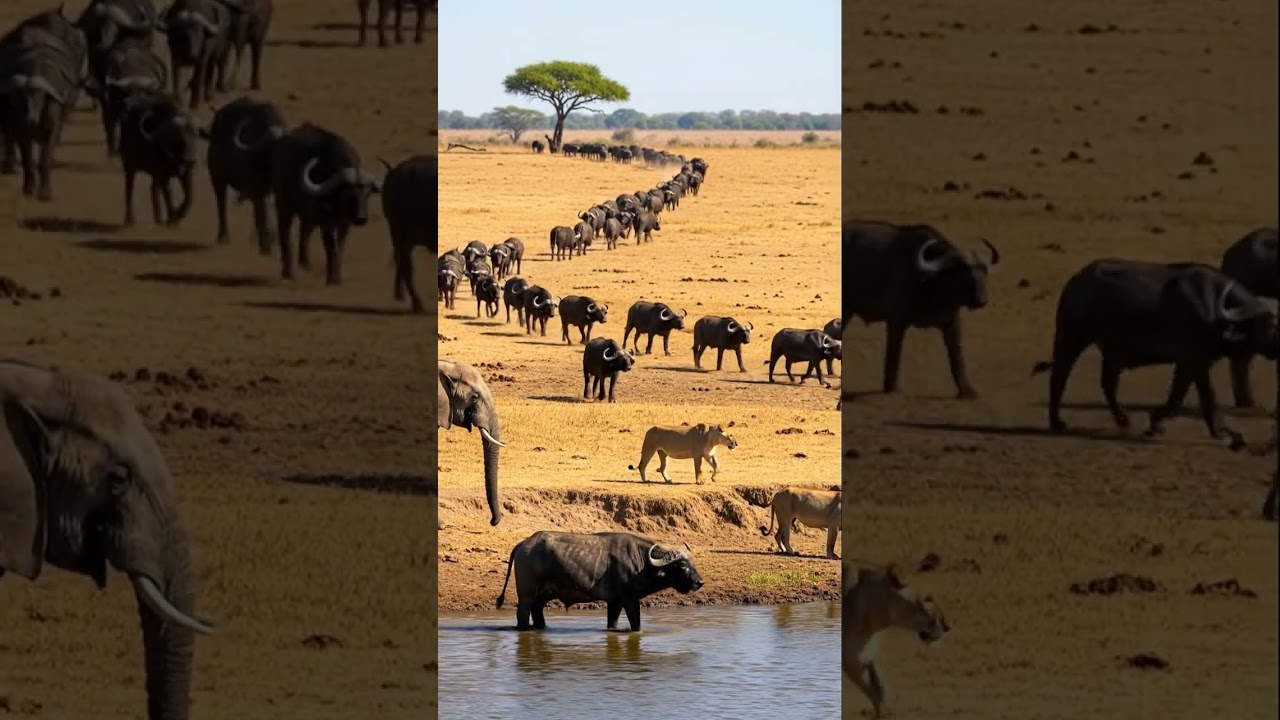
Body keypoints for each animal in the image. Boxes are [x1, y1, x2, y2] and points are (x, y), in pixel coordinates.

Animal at [843, 564, 949, 718]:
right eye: (927, 599)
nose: (947, 627)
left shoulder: (870, 657)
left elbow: (881, 689)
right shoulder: (851, 665)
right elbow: (874, 694)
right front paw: (881, 713)